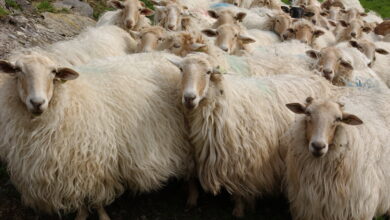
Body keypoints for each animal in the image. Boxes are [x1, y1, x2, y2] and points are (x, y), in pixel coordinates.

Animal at [0, 52, 193, 220]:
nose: (37, 102)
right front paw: (82, 214)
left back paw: (190, 197)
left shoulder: (92, 163)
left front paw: (100, 215)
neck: (67, 101)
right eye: (18, 70)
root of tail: (171, 55)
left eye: (53, 72)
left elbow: (95, 196)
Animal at [166, 53, 334, 218]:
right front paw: (191, 201)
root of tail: (315, 75)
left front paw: (239, 211)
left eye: (208, 72)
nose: (189, 97)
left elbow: (240, 189)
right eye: (181, 69)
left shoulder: (242, 159)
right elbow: (191, 179)